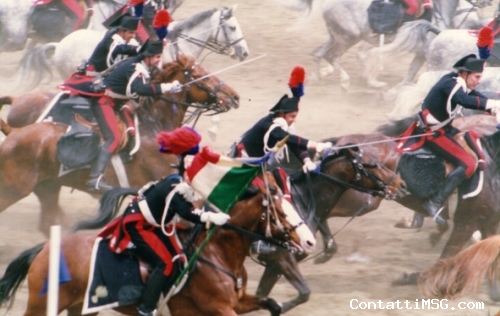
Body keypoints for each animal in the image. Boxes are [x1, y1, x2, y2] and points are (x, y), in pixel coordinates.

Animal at [0, 53, 240, 235]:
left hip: (48, 188)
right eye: (202, 76)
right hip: (12, 189)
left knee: (49, 223)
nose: (235, 96)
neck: (155, 126)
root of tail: (14, 134)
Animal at [0, 173, 316, 316]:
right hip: (42, 304)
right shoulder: (219, 308)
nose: (311, 241)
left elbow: (272, 304)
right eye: (280, 212)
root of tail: (43, 249)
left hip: (79, 305)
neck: (218, 254)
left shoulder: (236, 303)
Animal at [308, 0, 488, 91]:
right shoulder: (426, 53)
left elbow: (411, 72)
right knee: (332, 56)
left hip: (338, 36)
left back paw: (316, 77)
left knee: (318, 53)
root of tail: (327, 5)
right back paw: (346, 81)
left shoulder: (422, 54)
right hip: (349, 37)